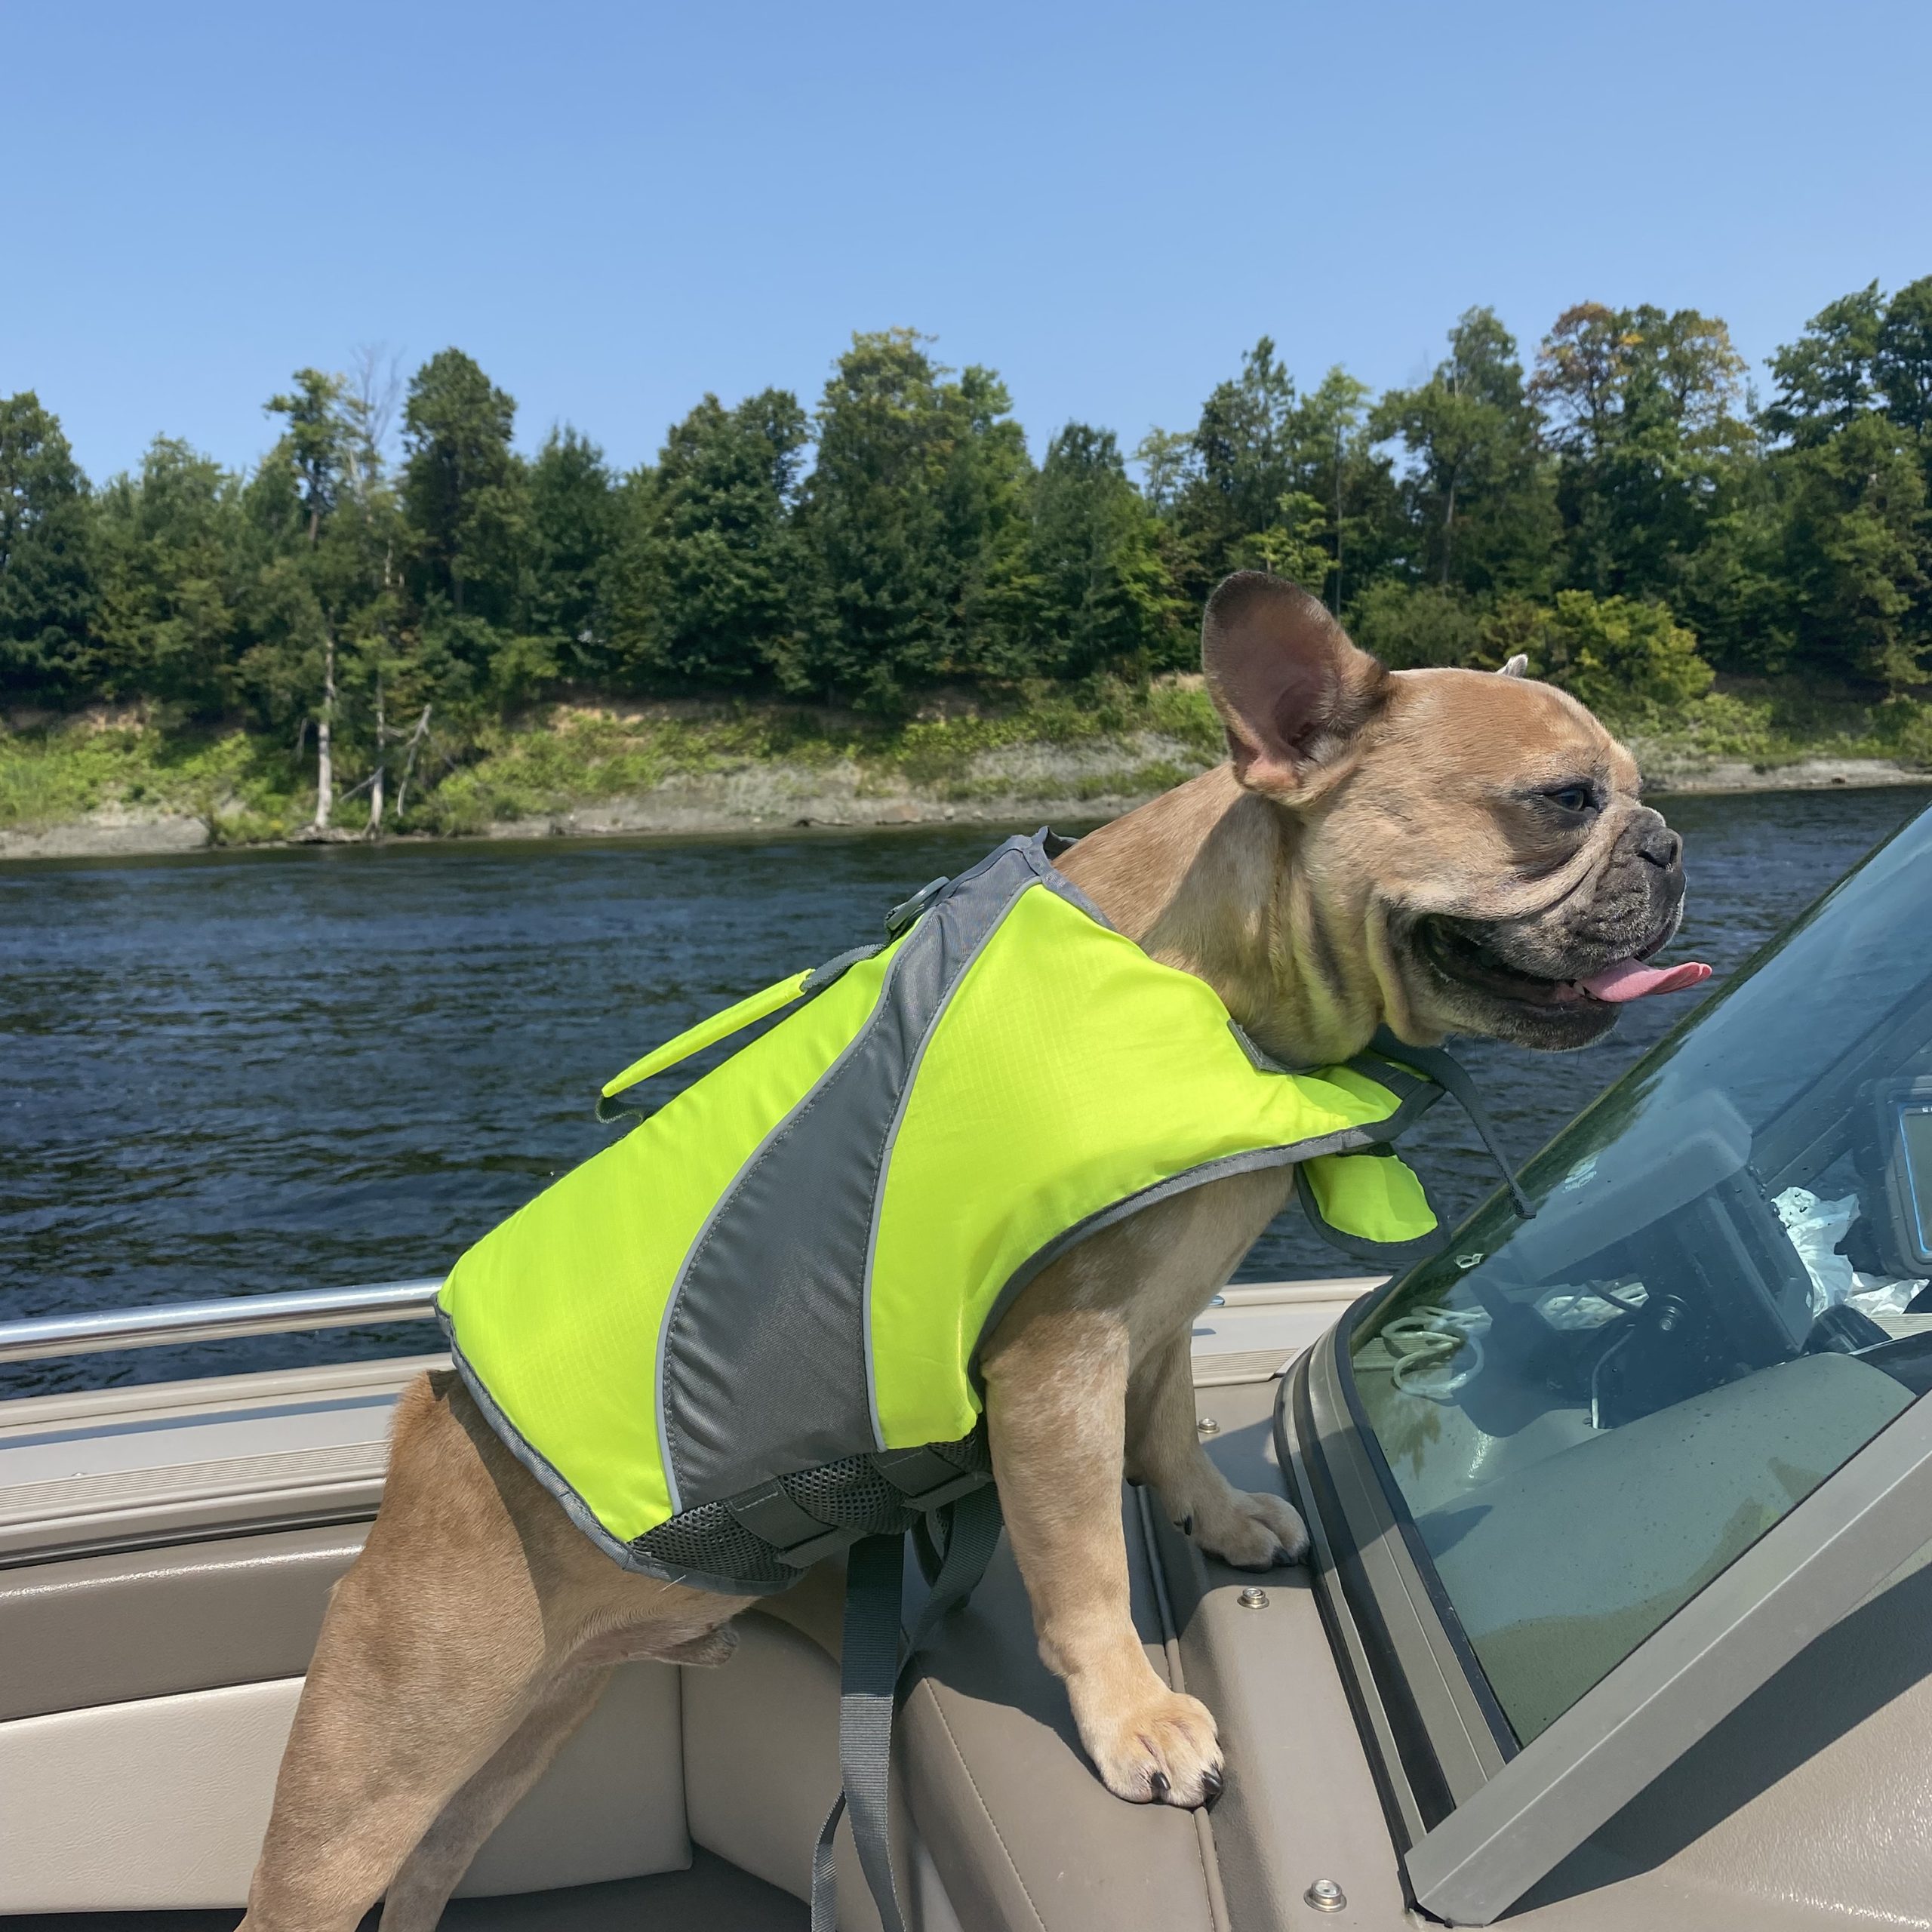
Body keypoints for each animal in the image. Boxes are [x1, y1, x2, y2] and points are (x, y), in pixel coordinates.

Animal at [240, 572, 1686, 1929]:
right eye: (1563, 800)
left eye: (1634, 793)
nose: (1670, 843)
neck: (1215, 986)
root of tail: (424, 1436)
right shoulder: (1057, 1366)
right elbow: (1083, 1561)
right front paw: (1136, 1717)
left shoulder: (1157, 1322)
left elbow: (1166, 1440)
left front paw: (1222, 1522)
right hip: (381, 1761)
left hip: (522, 1743)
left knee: (434, 1873)